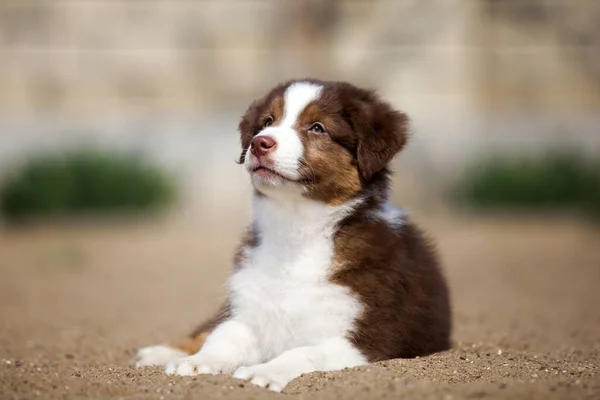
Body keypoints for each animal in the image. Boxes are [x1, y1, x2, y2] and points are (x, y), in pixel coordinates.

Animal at [135, 79, 450, 392]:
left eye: (317, 128)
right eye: (267, 122)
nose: (259, 142)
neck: (297, 227)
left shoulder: (367, 336)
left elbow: (304, 352)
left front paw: (263, 371)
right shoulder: (249, 309)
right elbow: (224, 337)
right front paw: (198, 361)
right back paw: (159, 352)